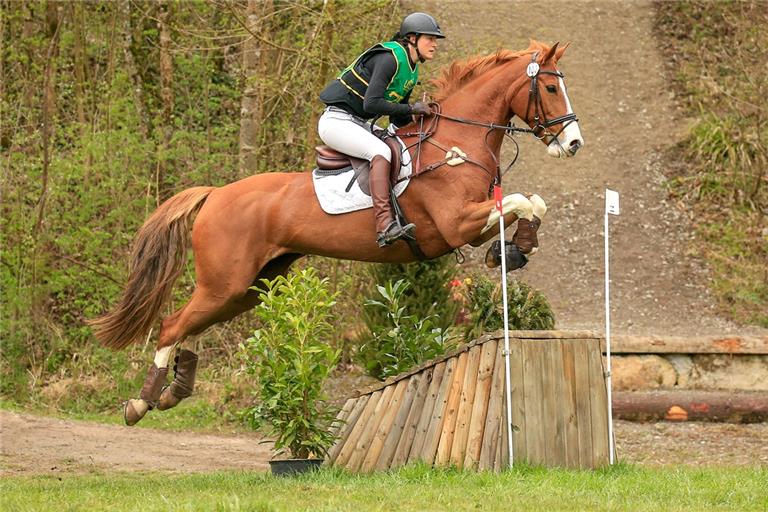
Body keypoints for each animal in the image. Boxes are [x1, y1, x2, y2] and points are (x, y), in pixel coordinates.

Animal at [90, 39, 584, 424]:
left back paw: (171, 394)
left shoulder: (472, 225)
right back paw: (142, 402)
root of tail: (214, 194)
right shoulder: (454, 223)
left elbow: (531, 201)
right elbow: (522, 199)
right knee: (173, 324)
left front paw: (514, 250)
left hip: (248, 286)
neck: (455, 144)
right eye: (551, 87)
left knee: (189, 327)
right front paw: (516, 250)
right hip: (225, 282)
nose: (573, 143)